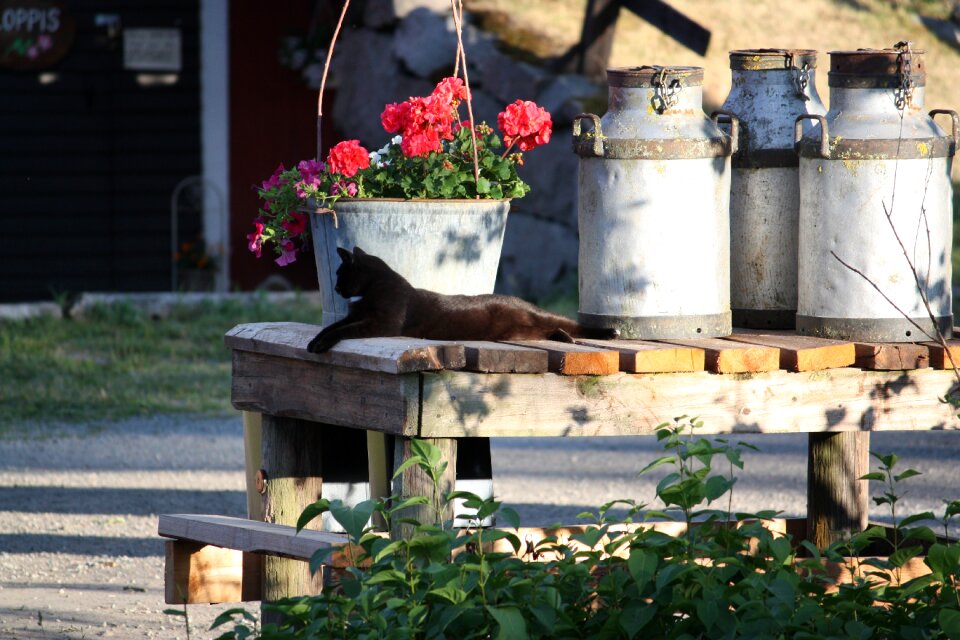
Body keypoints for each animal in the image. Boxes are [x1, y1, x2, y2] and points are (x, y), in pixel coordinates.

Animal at [310, 246, 624, 352]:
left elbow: (343, 331)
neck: (373, 288)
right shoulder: (354, 316)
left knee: (571, 324)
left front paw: (321, 345)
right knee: (552, 330)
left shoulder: (380, 324)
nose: (335, 288)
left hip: (541, 316)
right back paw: (564, 339)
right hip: (522, 331)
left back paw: (608, 333)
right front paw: (314, 342)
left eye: (339, 274)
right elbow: (333, 326)